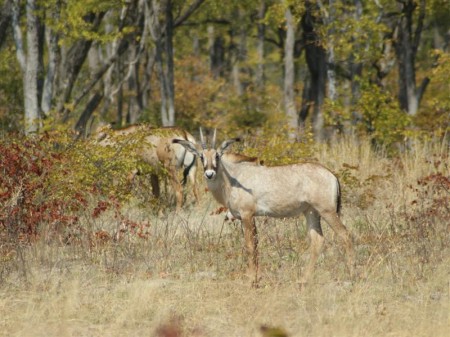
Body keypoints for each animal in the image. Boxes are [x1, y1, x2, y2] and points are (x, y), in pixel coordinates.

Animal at [176, 129, 356, 286]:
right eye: (201, 156)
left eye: (217, 156)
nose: (209, 174)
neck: (233, 178)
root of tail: (332, 175)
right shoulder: (250, 216)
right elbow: (255, 245)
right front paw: (255, 279)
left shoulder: (247, 215)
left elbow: (250, 246)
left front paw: (251, 280)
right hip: (311, 212)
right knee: (317, 240)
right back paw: (303, 280)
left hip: (327, 211)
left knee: (345, 235)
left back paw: (352, 275)